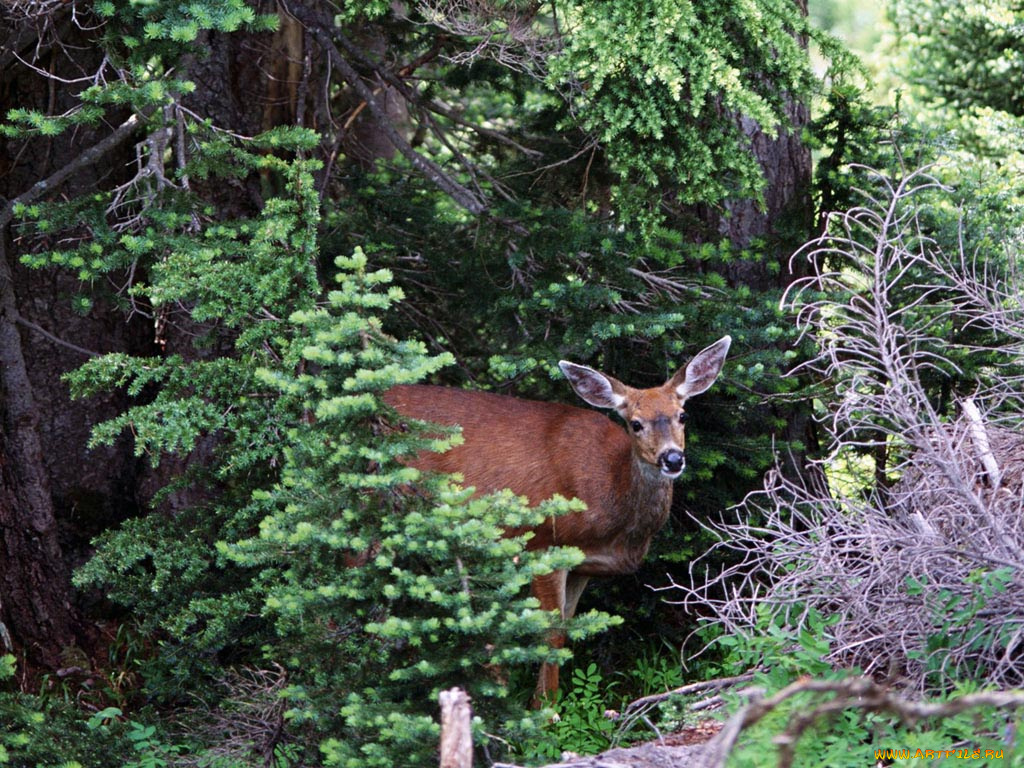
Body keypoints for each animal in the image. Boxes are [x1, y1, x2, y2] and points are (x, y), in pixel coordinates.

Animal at [382, 335, 729, 704]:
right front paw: (545, 709)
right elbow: (550, 634)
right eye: (636, 423)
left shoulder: (583, 565)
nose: (672, 459)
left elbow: (567, 627)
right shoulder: (545, 545)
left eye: (682, 415)